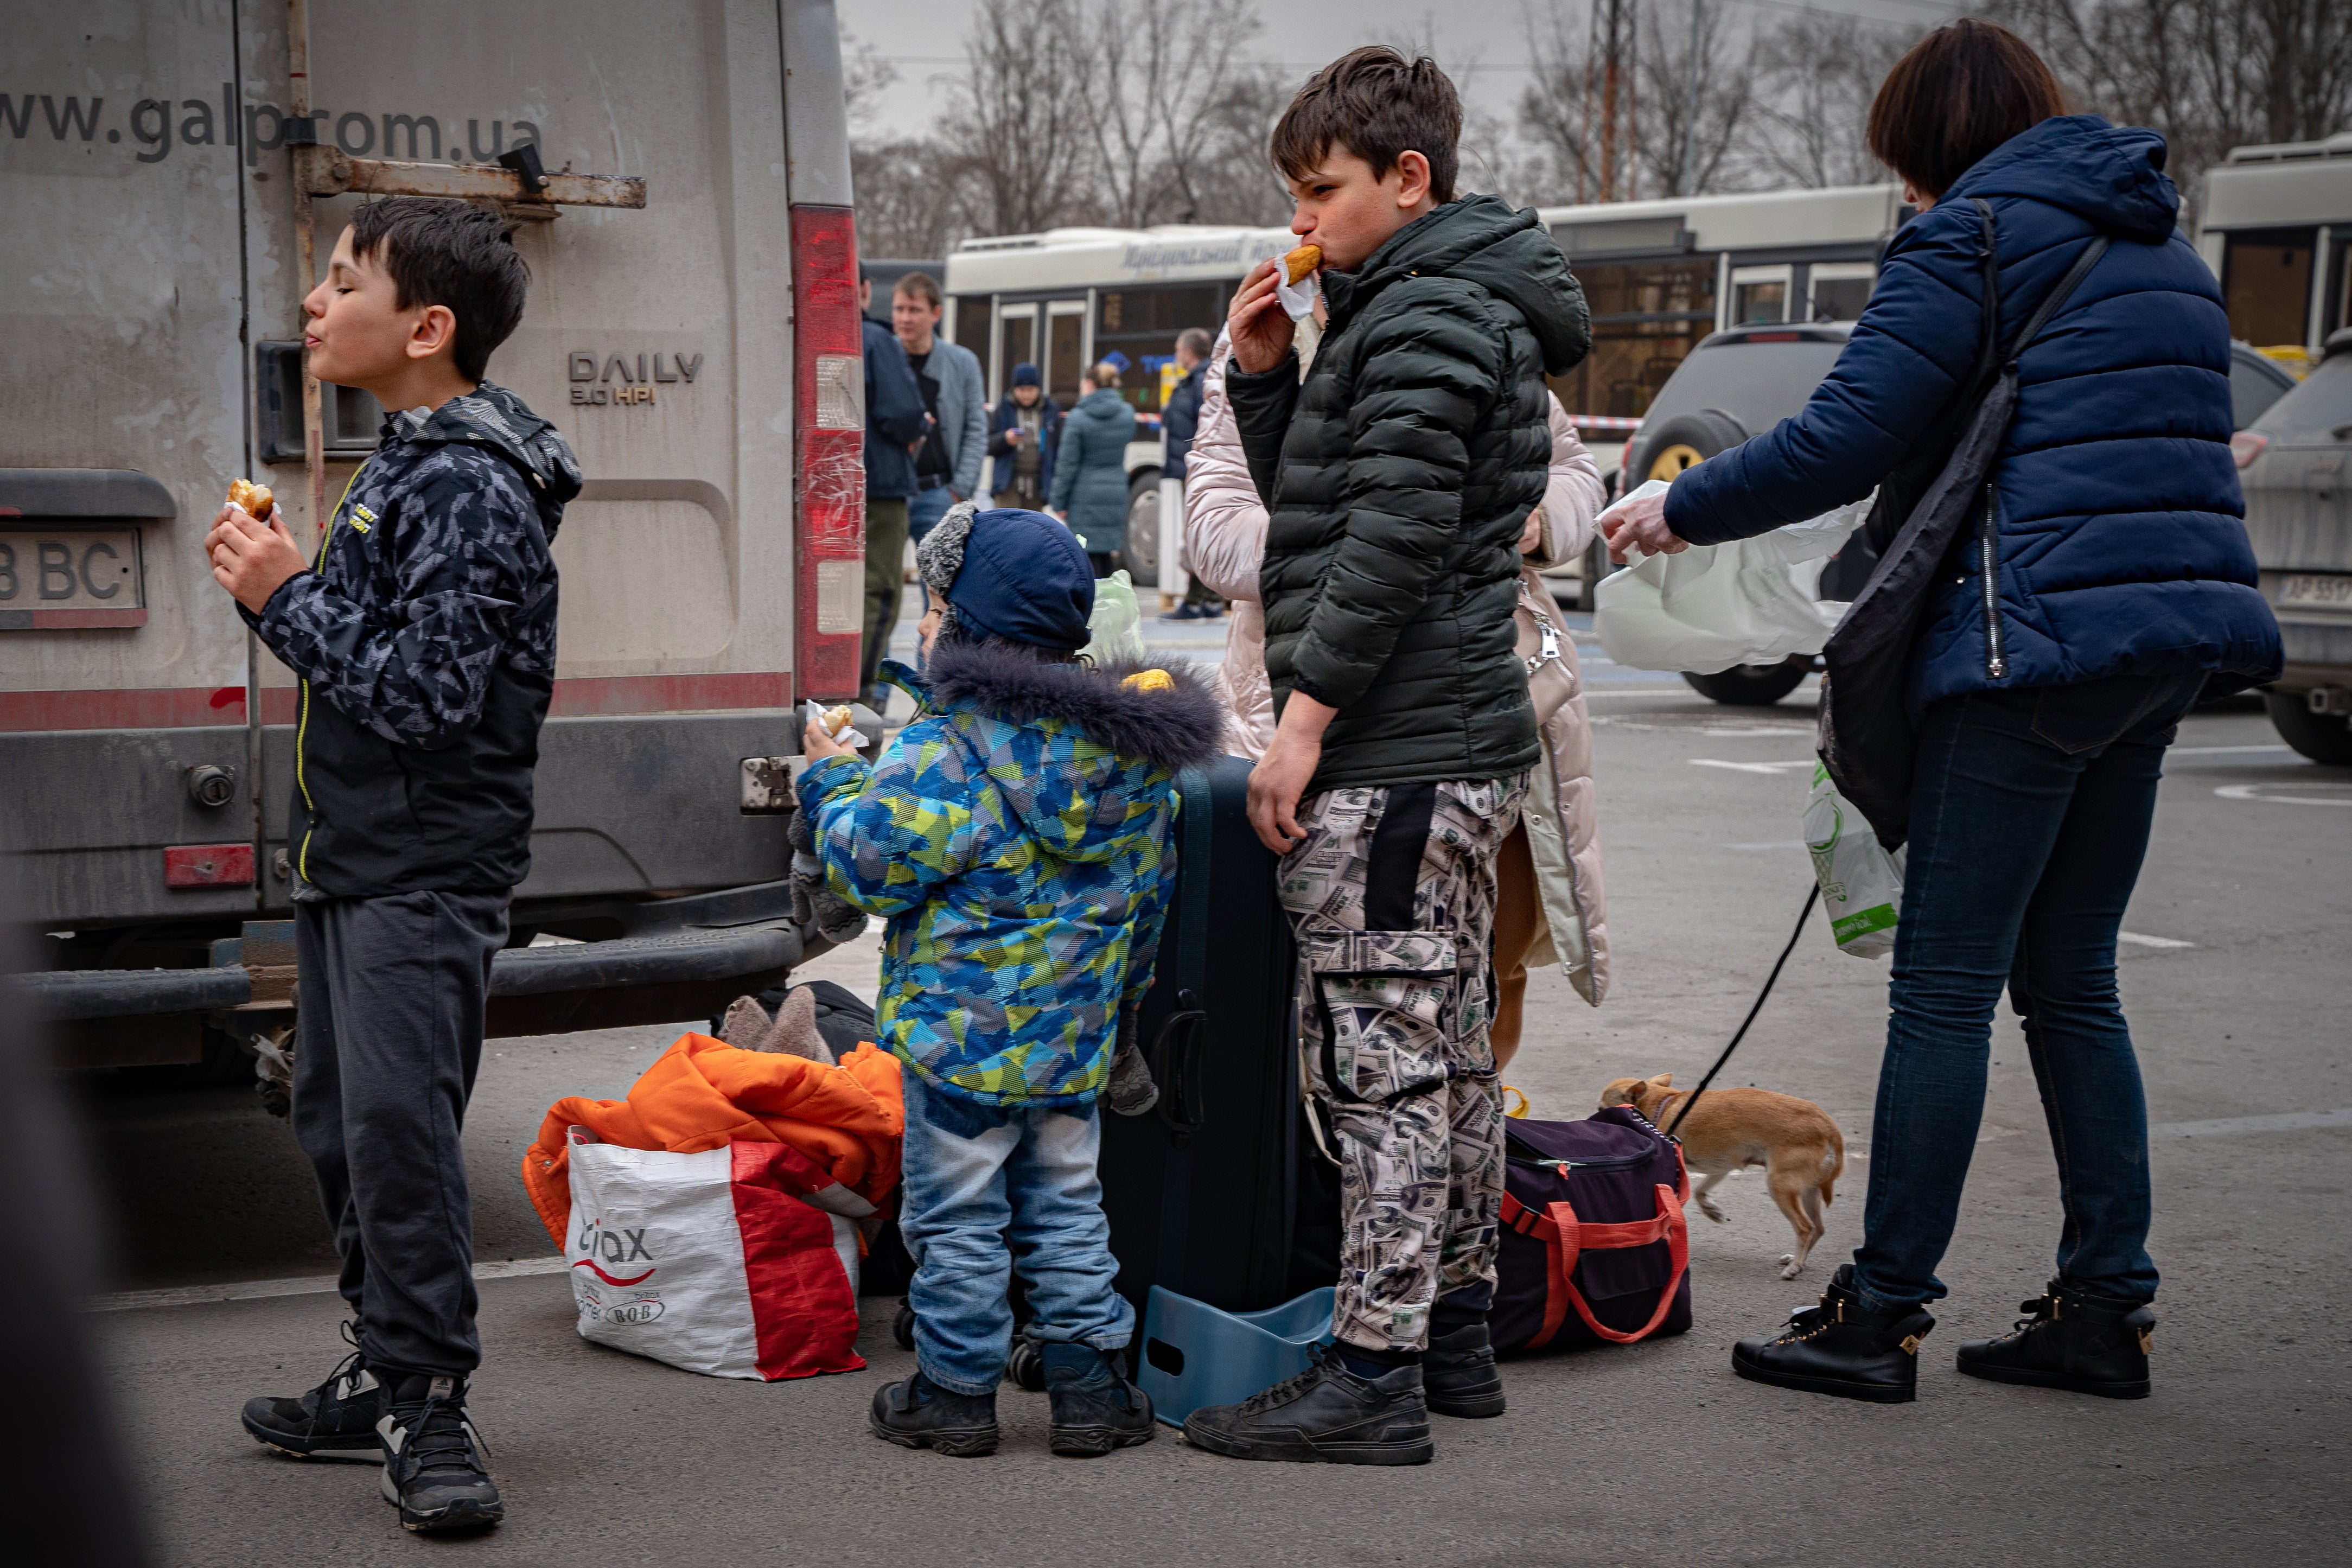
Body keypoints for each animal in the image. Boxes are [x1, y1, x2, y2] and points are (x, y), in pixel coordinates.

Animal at [1609, 1072, 1844, 1279]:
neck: (1663, 1106)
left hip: (1780, 1187)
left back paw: (1794, 1268)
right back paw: (1798, 1261)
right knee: (1818, 1228)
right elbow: (1700, 1192)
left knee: (1805, 1228)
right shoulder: (1721, 1168)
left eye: (1603, 1108)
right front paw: (1711, 1210)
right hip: (1809, 1192)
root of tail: (1829, 1129)